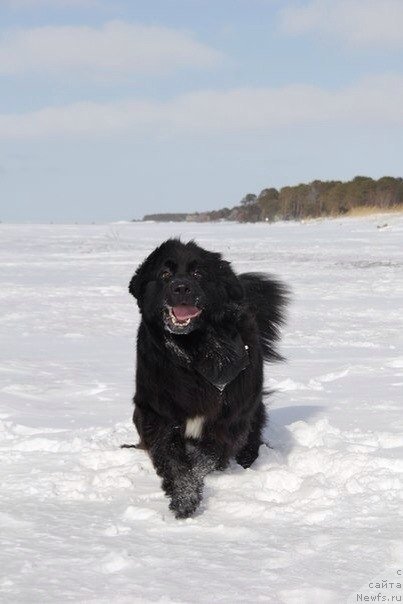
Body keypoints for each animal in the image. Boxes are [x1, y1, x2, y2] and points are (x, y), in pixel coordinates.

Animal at [128, 241, 288, 520]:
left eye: (198, 273)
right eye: (164, 274)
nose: (181, 287)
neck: (192, 349)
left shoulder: (230, 417)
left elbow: (207, 456)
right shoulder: (156, 412)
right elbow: (172, 459)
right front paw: (184, 499)